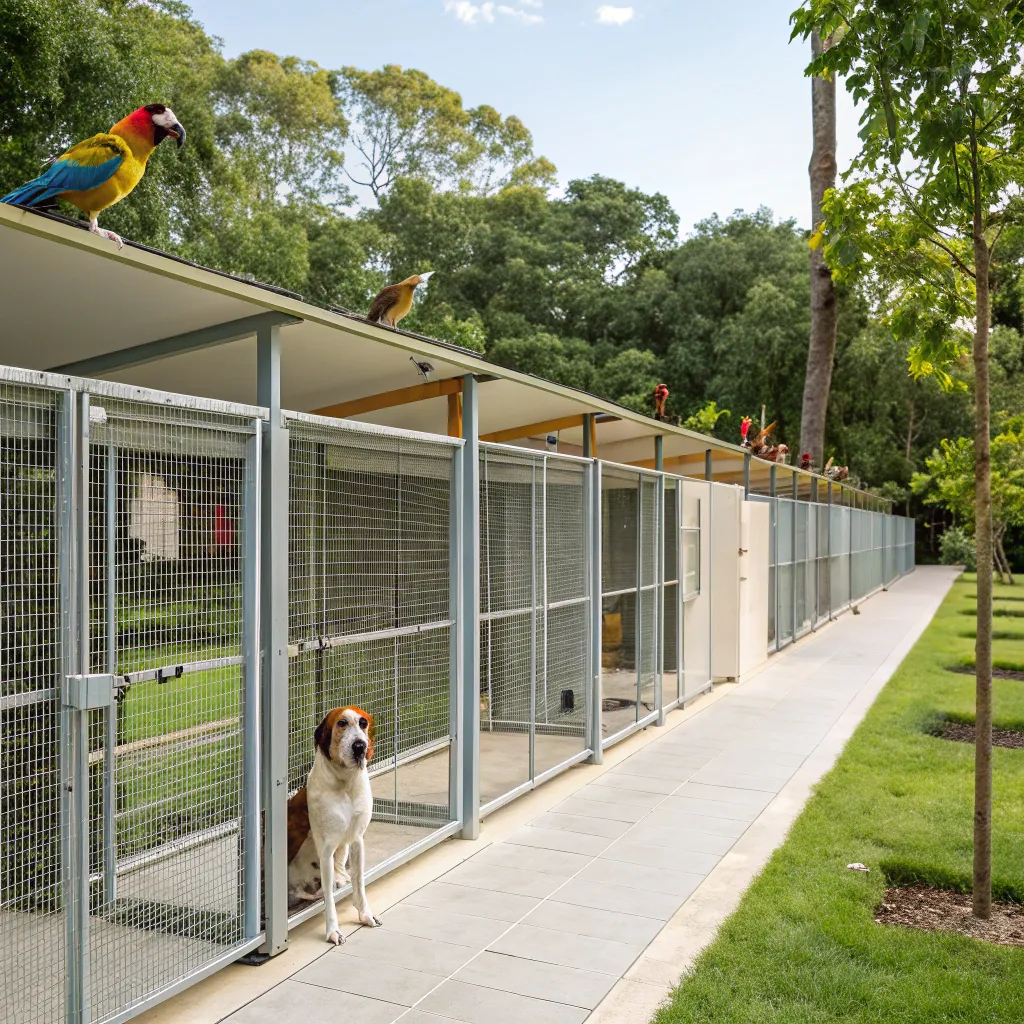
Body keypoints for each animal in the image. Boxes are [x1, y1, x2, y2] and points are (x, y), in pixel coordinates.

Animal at [286, 704, 382, 942]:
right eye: (342, 723)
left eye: (363, 723)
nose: (360, 746)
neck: (346, 783)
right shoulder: (326, 849)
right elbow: (329, 897)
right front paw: (333, 931)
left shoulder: (357, 841)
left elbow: (359, 883)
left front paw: (365, 915)